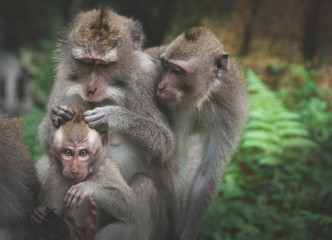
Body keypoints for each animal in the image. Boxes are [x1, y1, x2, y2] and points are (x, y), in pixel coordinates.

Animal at [31, 109, 135, 240]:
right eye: (68, 152)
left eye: (83, 153)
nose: (75, 170)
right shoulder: (53, 176)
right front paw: (39, 215)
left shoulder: (106, 170)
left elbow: (131, 207)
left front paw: (85, 187)